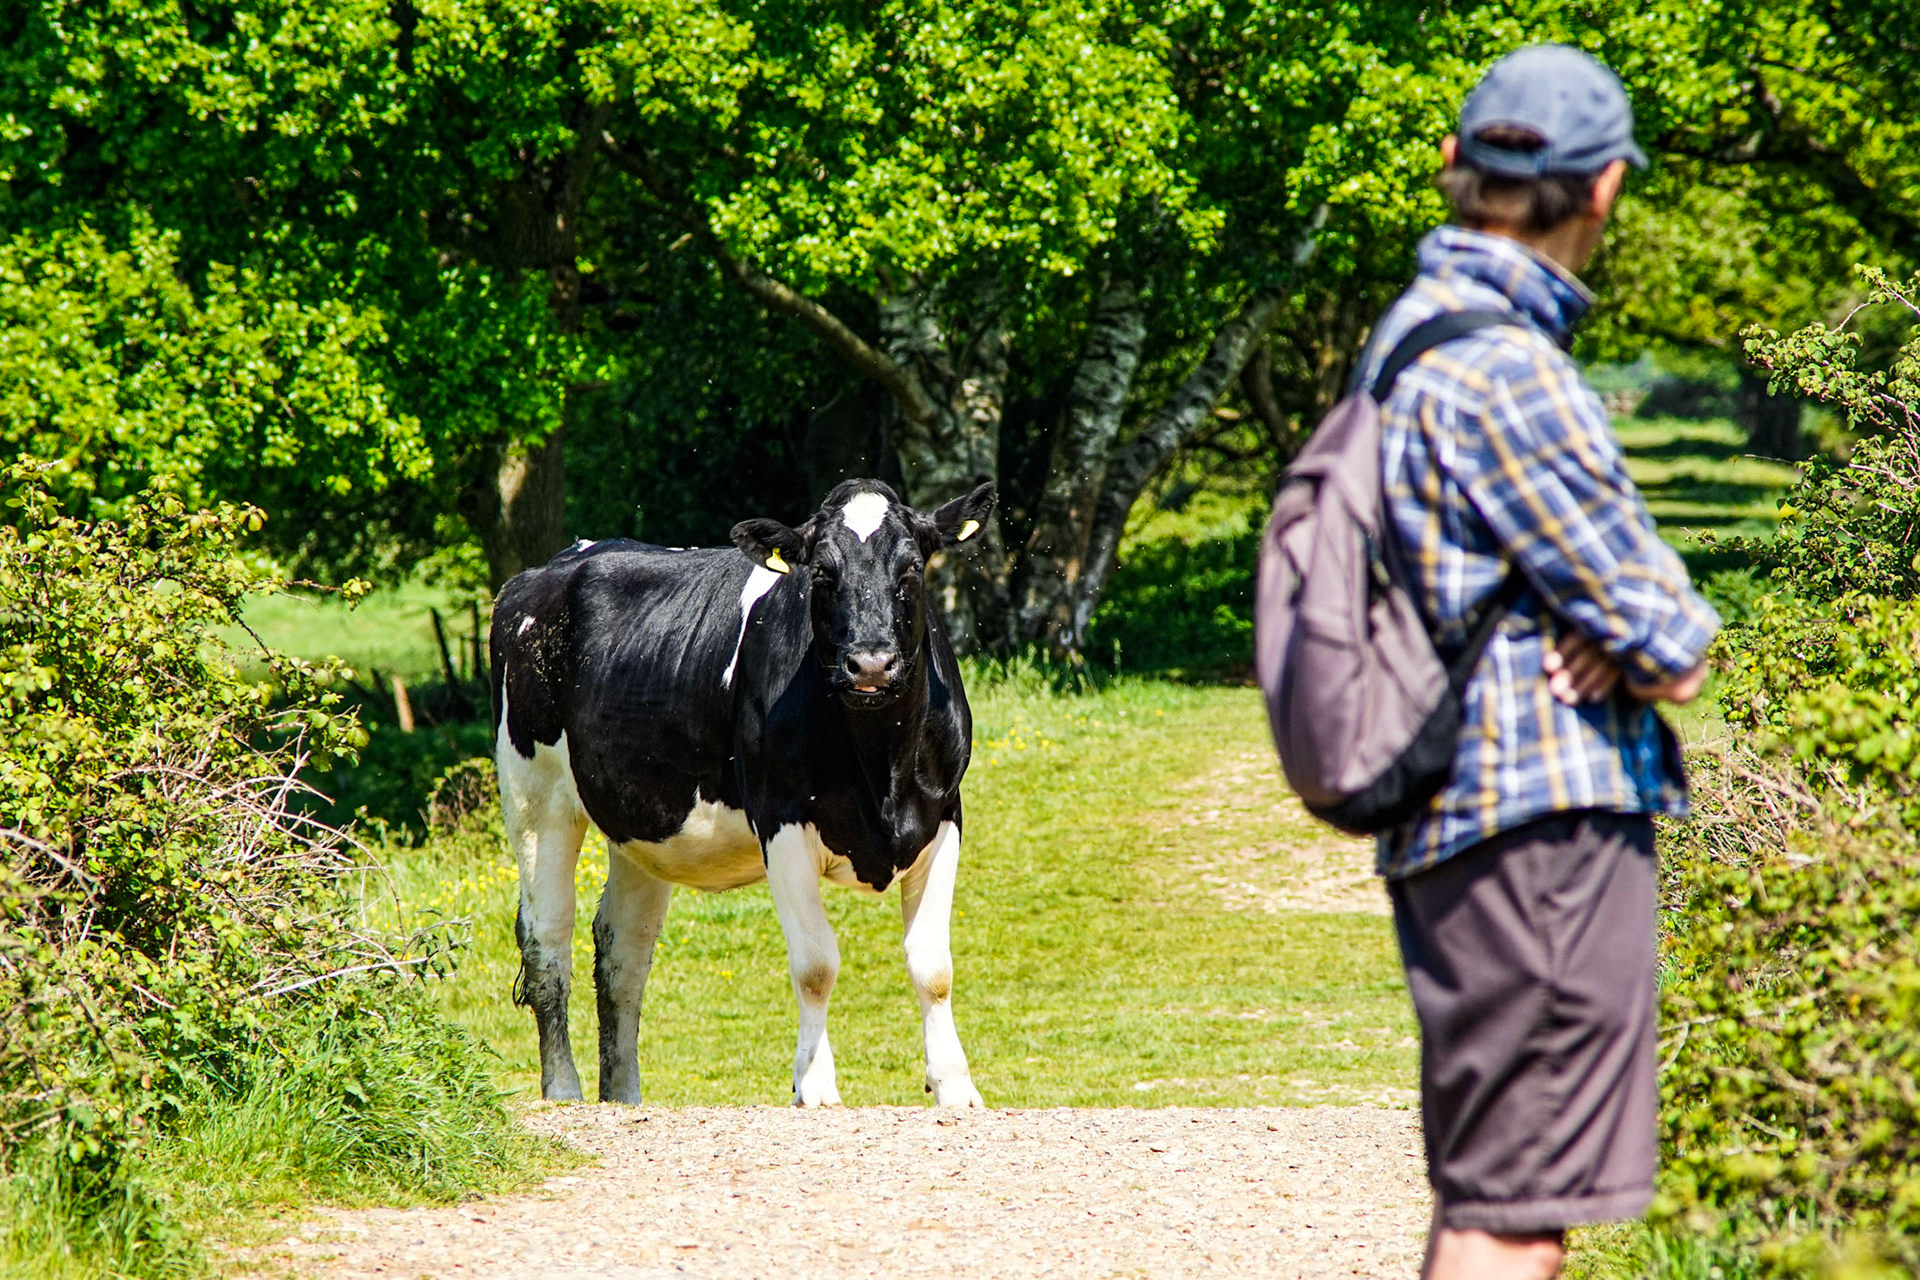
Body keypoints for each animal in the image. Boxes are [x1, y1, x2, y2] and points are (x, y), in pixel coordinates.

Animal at [489, 479, 996, 1108]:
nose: (871, 664)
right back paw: (563, 1088)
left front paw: (955, 1086)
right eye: (821, 572)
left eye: (912, 569)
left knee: (622, 951)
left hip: (642, 824)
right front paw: (815, 1085)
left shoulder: (943, 816)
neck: (883, 770)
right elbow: (815, 964)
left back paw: (624, 1096)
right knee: (547, 941)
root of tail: (547, 569)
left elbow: (933, 967)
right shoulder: (782, 821)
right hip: (535, 797)